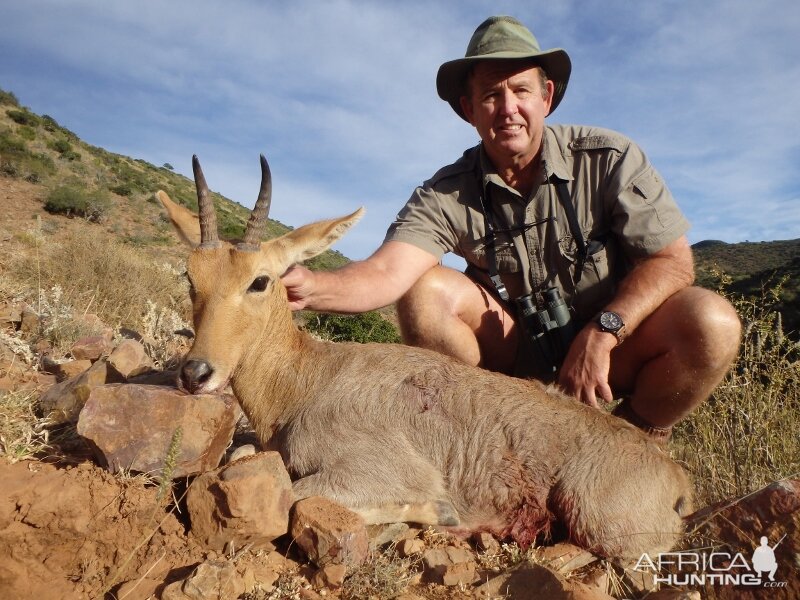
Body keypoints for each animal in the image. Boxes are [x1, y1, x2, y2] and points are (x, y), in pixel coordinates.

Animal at [156, 155, 692, 556]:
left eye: (260, 280)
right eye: (190, 277)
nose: (196, 373)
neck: (309, 380)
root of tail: (674, 476)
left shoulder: (373, 472)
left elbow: (297, 495)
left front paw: (439, 511)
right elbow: (242, 455)